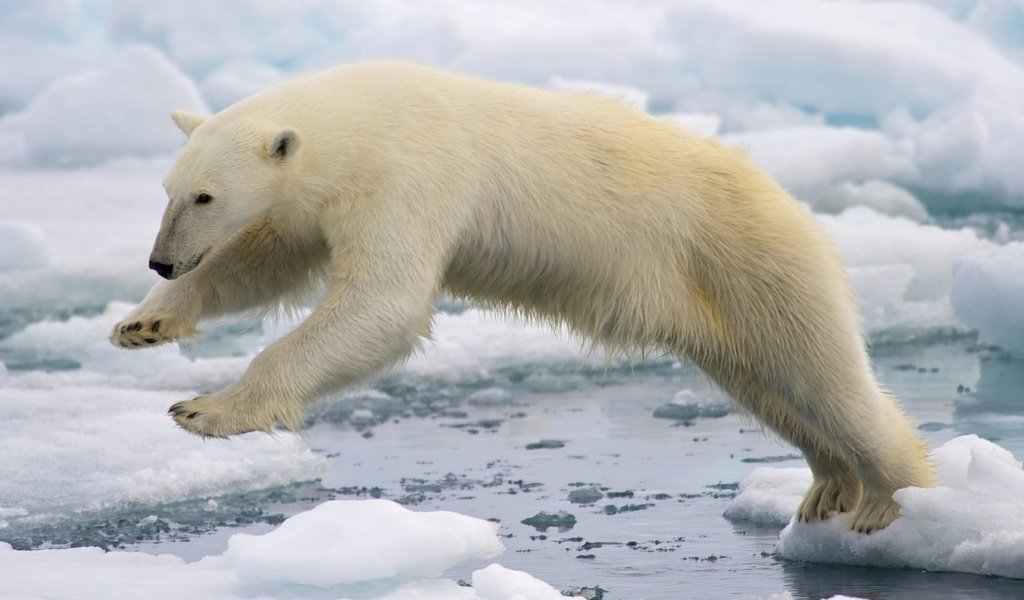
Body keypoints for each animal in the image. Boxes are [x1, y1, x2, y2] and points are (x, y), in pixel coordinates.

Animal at [112, 59, 937, 528]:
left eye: (206, 196)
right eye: (169, 189)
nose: (161, 261)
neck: (359, 120)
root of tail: (790, 202)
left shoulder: (410, 176)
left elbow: (382, 303)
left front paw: (206, 409)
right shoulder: (321, 200)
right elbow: (268, 259)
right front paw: (143, 325)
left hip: (750, 260)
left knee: (823, 375)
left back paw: (887, 500)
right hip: (717, 302)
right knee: (770, 387)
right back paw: (828, 486)